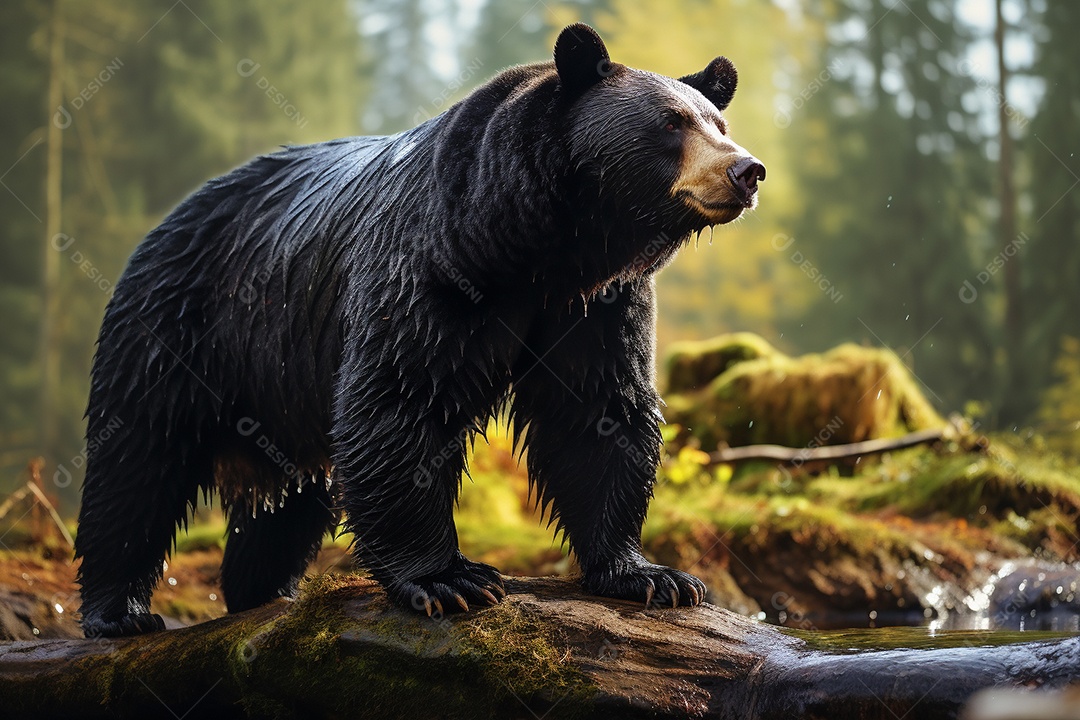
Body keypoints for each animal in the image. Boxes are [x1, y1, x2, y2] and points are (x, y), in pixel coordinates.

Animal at [75, 23, 764, 637]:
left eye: (718, 124)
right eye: (670, 123)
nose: (746, 170)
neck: (540, 245)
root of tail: (171, 216)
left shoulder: (596, 304)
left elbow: (598, 409)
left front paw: (652, 575)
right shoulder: (433, 266)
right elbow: (401, 399)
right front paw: (450, 579)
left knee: (292, 497)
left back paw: (265, 591)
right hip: (181, 323)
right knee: (137, 457)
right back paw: (121, 611)